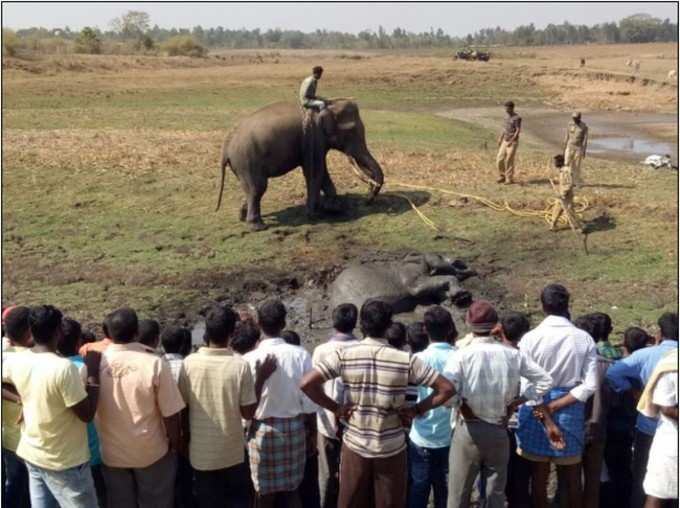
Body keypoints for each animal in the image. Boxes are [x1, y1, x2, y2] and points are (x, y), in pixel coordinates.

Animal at [216, 99, 382, 230]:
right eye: (352, 132)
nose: (366, 200)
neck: (328, 103)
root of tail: (226, 146)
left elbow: (322, 171)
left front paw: (334, 209)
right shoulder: (314, 138)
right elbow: (315, 171)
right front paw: (314, 215)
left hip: (242, 165)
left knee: (250, 189)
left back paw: (242, 216)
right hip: (247, 161)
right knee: (258, 188)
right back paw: (258, 226)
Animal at [330, 253, 472, 314]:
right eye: (441, 256)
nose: (459, 260)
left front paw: (456, 299)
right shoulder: (410, 271)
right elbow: (417, 288)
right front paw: (460, 294)